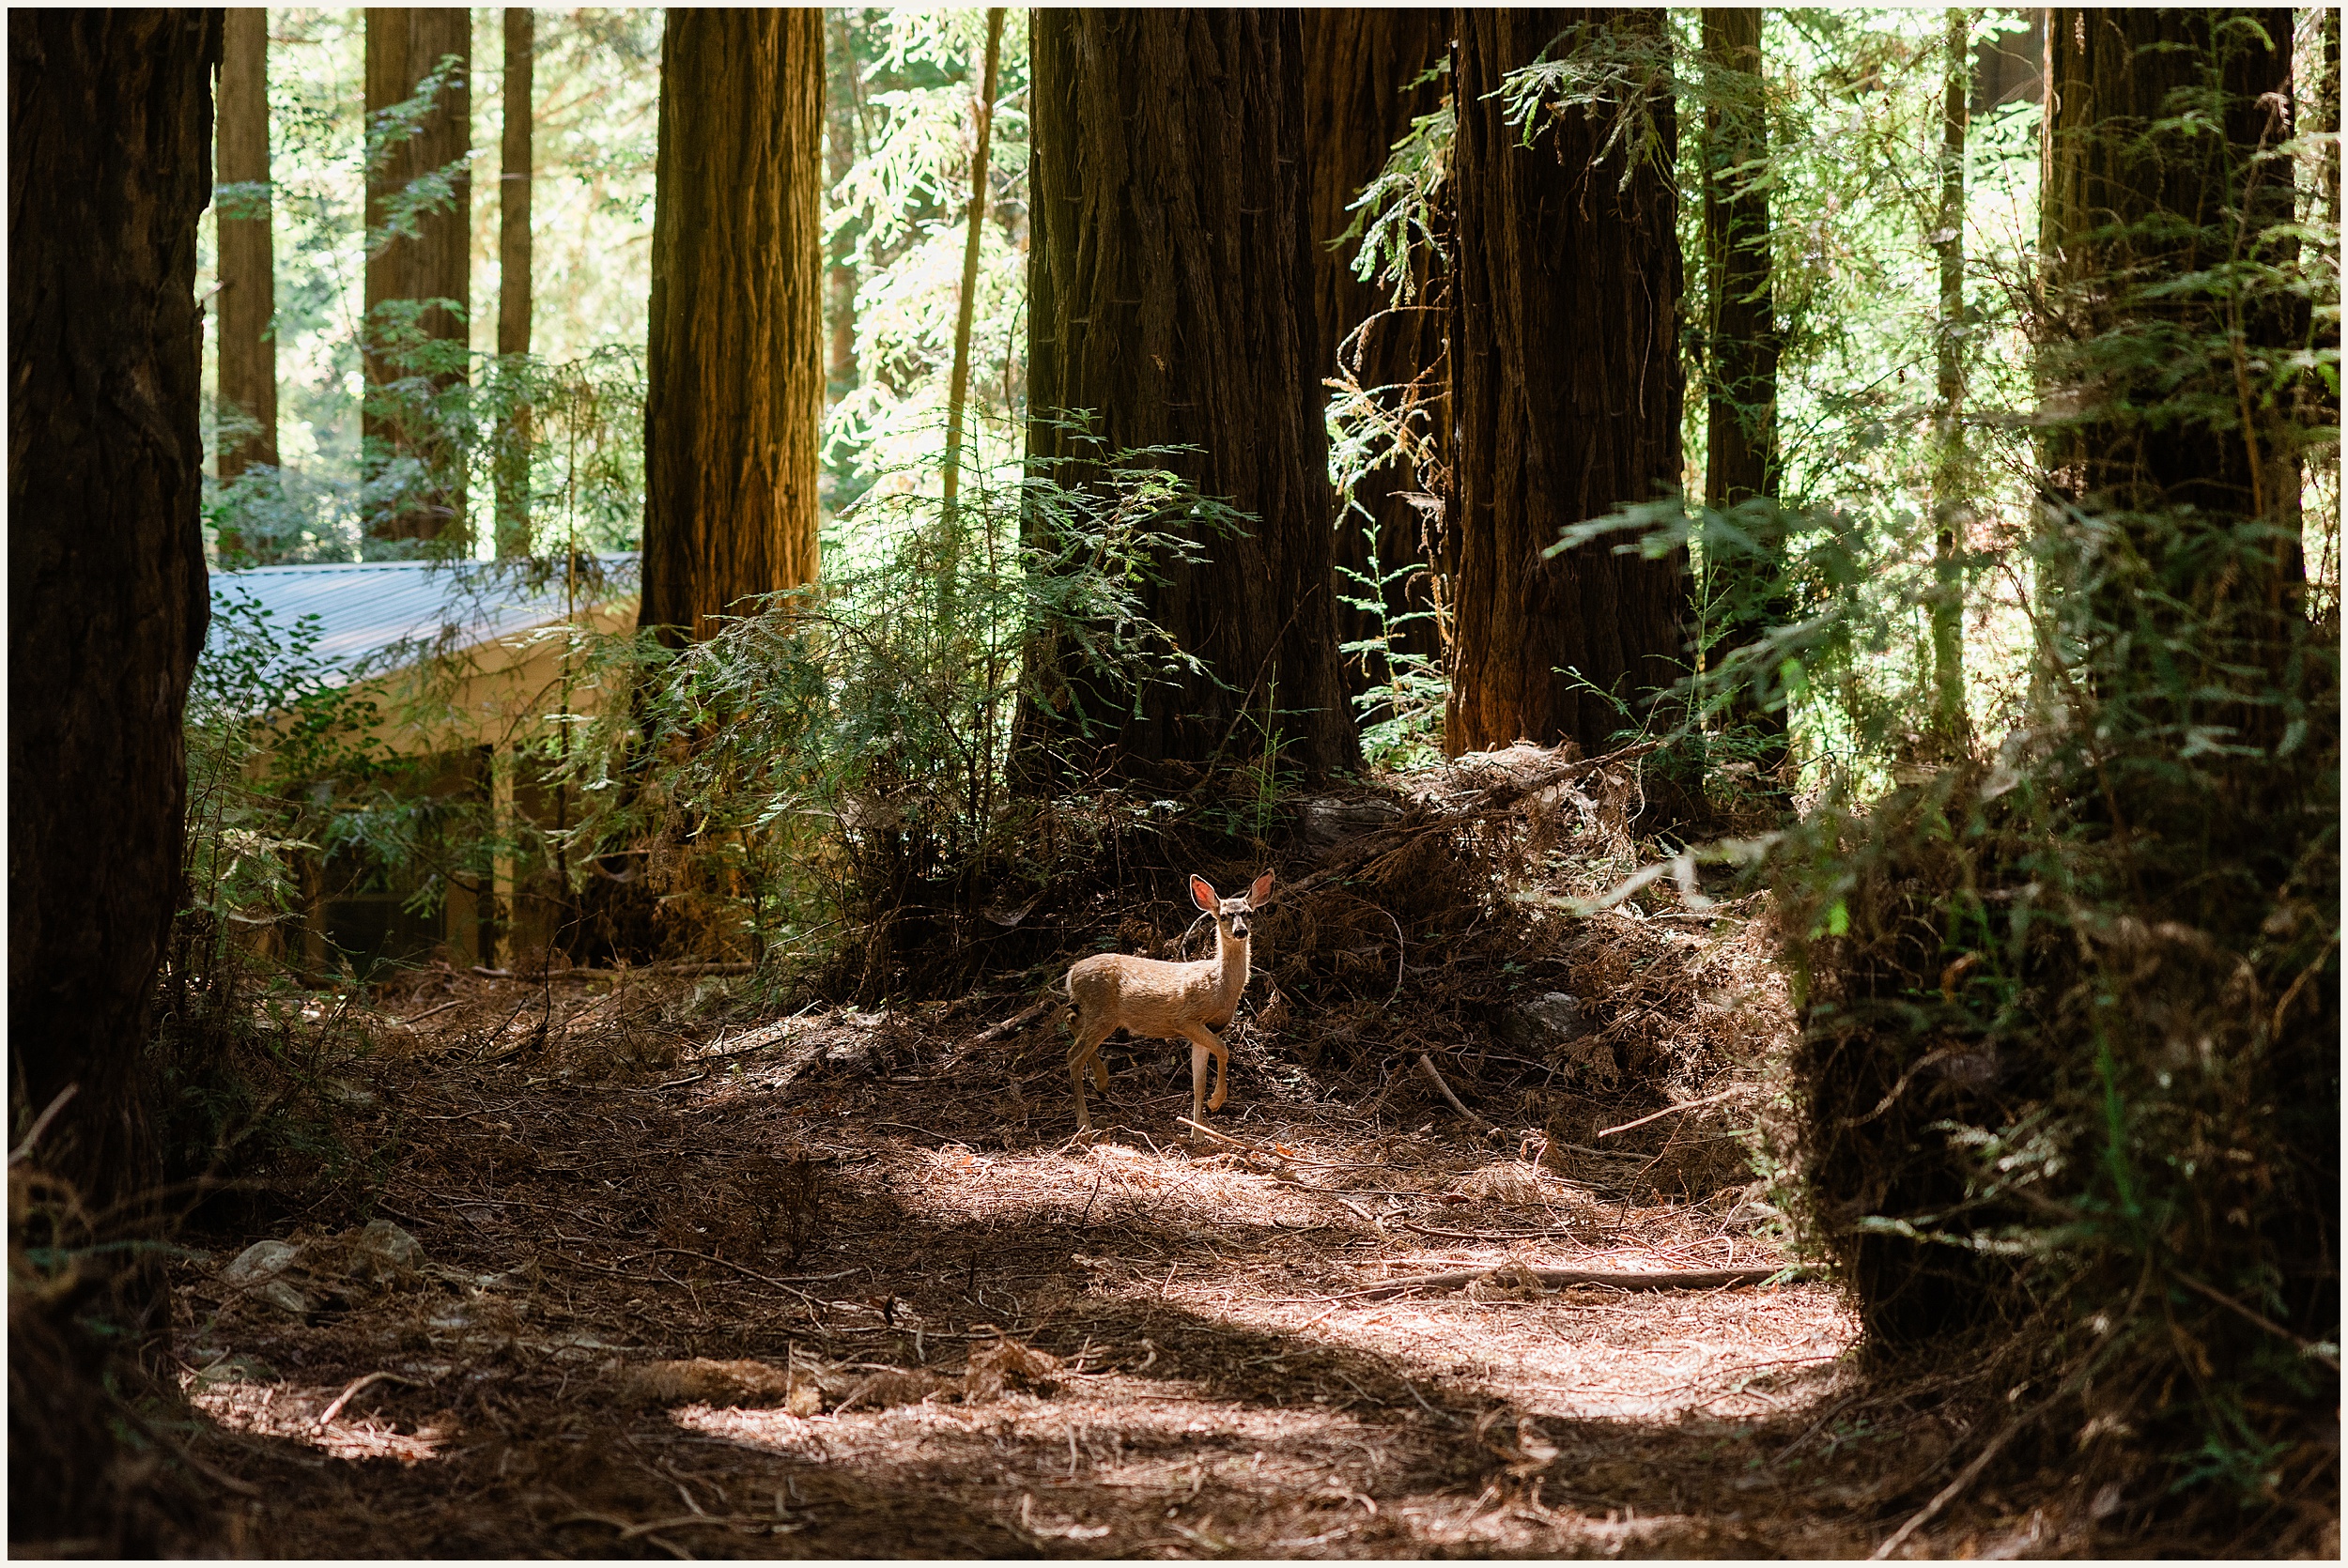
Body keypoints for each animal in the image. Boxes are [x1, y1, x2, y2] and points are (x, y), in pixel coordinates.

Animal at [1071, 869, 1277, 1141]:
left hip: (1094, 1013)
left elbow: (1198, 1082)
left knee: (1071, 1023)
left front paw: (1198, 1133)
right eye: (1223, 916)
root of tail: (1071, 973)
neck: (1220, 987)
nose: (1241, 931)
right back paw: (1085, 1122)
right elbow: (1223, 1050)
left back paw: (1102, 1083)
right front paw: (1216, 1102)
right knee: (1074, 1056)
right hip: (1101, 1013)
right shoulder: (1186, 1019)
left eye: (1249, 913)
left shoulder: (1207, 1029)